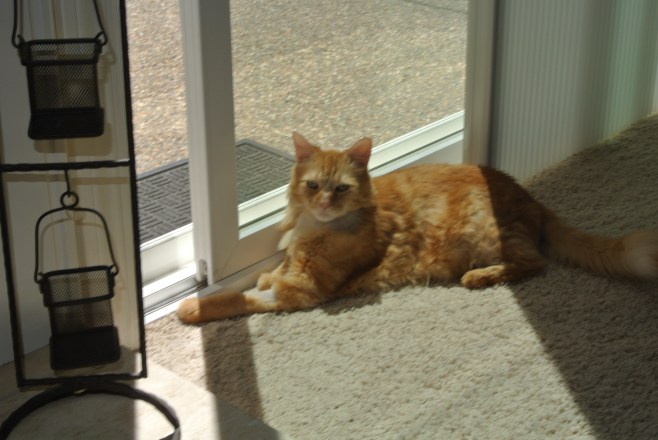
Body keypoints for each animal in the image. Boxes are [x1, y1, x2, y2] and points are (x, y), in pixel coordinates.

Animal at [177, 132, 658, 324]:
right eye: (313, 185)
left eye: (342, 188)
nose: (325, 203)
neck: (312, 229)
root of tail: (527, 195)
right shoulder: (287, 268)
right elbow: (258, 277)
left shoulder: (303, 291)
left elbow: (235, 299)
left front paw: (192, 308)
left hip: (486, 231)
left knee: (534, 263)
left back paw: (478, 277)